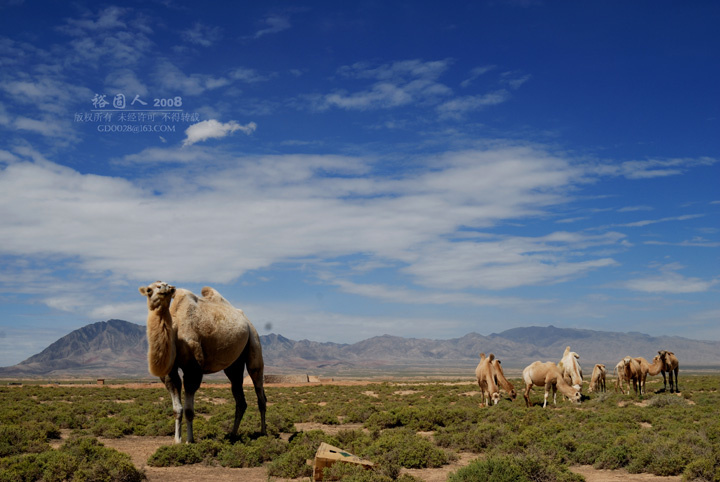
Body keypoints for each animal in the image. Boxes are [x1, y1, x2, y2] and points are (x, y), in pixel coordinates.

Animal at [139, 280, 268, 442]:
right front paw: (177, 440)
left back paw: (263, 433)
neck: (176, 331)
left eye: (167, 286)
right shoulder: (169, 372)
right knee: (239, 397)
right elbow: (177, 409)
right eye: (149, 290)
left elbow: (188, 410)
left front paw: (189, 440)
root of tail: (246, 320)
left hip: (253, 339)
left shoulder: (193, 369)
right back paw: (232, 435)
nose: (163, 288)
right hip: (234, 364)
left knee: (258, 387)